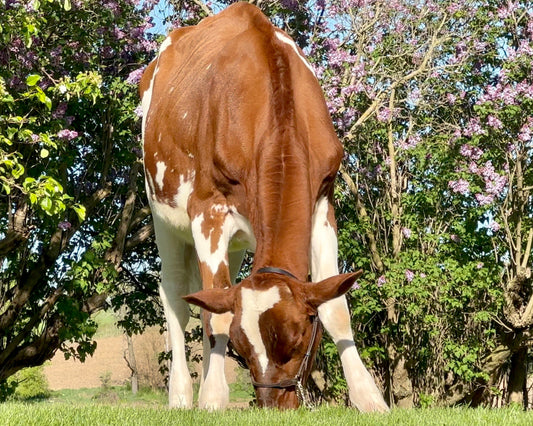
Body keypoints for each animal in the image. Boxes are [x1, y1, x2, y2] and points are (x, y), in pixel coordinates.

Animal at [139, 1, 388, 412]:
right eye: (242, 348)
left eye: (299, 338)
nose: (275, 405)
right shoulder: (208, 211)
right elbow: (216, 317)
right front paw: (212, 398)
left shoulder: (322, 201)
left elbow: (336, 309)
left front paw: (369, 398)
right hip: (163, 213)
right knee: (176, 296)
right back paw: (182, 395)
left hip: (237, 242)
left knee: (210, 296)